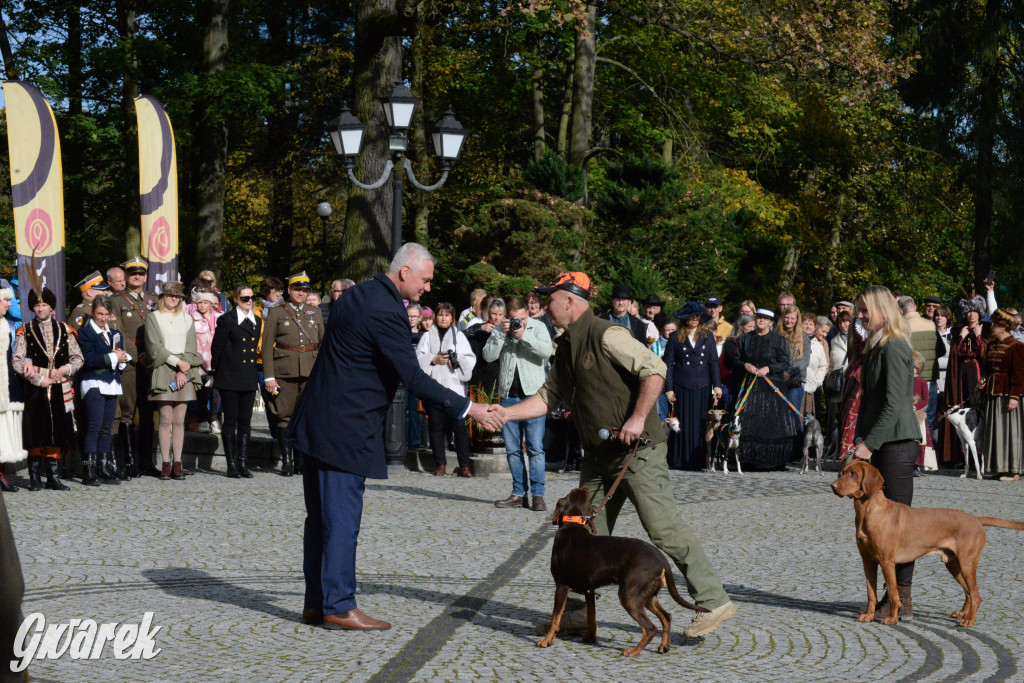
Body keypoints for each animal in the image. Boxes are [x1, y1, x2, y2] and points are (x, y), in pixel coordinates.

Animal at [532, 485, 708, 655]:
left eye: (573, 491)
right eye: (581, 493)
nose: (585, 487)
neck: (572, 526)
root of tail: (663, 561)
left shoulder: (561, 585)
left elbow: (555, 618)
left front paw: (546, 641)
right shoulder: (589, 590)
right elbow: (591, 617)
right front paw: (590, 638)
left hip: (629, 595)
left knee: (650, 628)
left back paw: (634, 651)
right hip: (647, 597)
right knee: (666, 617)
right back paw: (663, 646)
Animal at [831, 462, 1024, 626]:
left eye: (853, 473)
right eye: (843, 471)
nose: (833, 486)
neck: (868, 512)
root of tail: (976, 519)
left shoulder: (887, 562)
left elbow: (893, 594)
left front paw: (892, 618)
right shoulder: (868, 561)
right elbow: (871, 593)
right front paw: (868, 615)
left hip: (967, 564)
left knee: (976, 595)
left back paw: (969, 620)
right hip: (953, 564)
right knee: (969, 592)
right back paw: (962, 613)